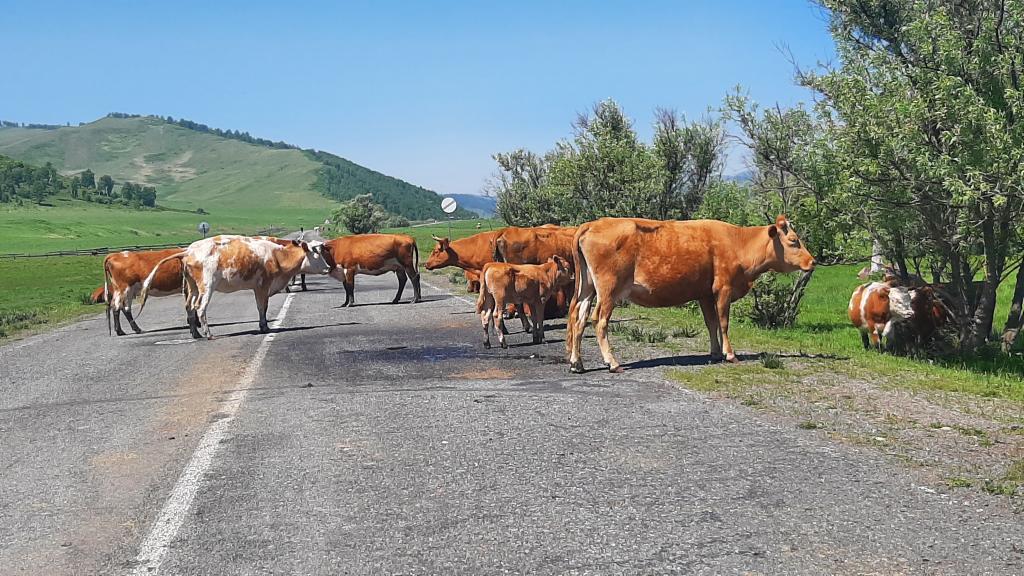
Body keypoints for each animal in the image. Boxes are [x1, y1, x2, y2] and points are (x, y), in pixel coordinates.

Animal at [138, 235, 329, 338]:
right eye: (316, 254)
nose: (328, 267)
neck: (276, 255)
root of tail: (190, 250)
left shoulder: (257, 287)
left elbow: (262, 307)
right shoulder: (263, 285)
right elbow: (262, 307)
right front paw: (264, 326)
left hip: (193, 287)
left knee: (189, 307)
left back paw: (196, 333)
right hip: (207, 286)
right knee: (200, 308)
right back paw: (208, 334)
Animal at [565, 215, 811, 373]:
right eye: (793, 241)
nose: (812, 261)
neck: (737, 242)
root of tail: (592, 224)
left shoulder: (704, 294)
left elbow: (711, 323)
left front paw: (715, 353)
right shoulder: (723, 288)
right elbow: (723, 322)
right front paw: (730, 354)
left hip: (587, 289)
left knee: (579, 320)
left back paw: (577, 363)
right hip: (609, 291)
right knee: (599, 321)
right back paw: (612, 363)